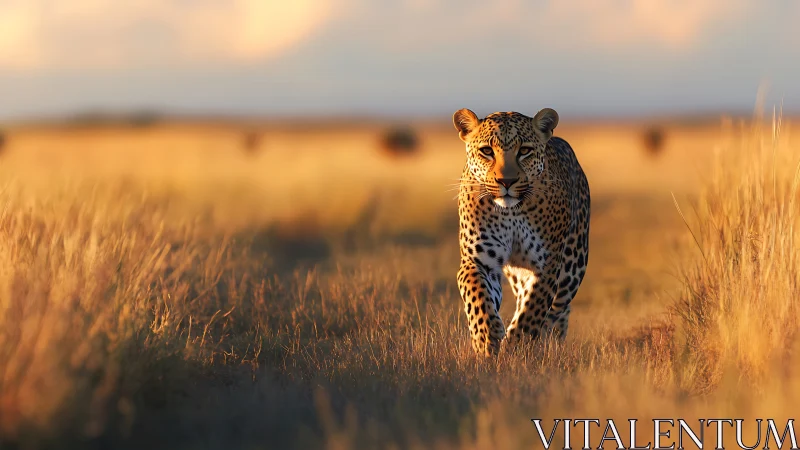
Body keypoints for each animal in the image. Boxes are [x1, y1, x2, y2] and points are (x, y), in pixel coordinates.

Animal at [453, 108, 590, 356]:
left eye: (524, 151)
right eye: (487, 151)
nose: (506, 181)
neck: (511, 212)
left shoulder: (546, 265)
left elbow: (533, 309)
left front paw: (517, 344)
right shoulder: (478, 260)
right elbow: (477, 296)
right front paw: (486, 338)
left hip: (572, 269)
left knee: (557, 311)